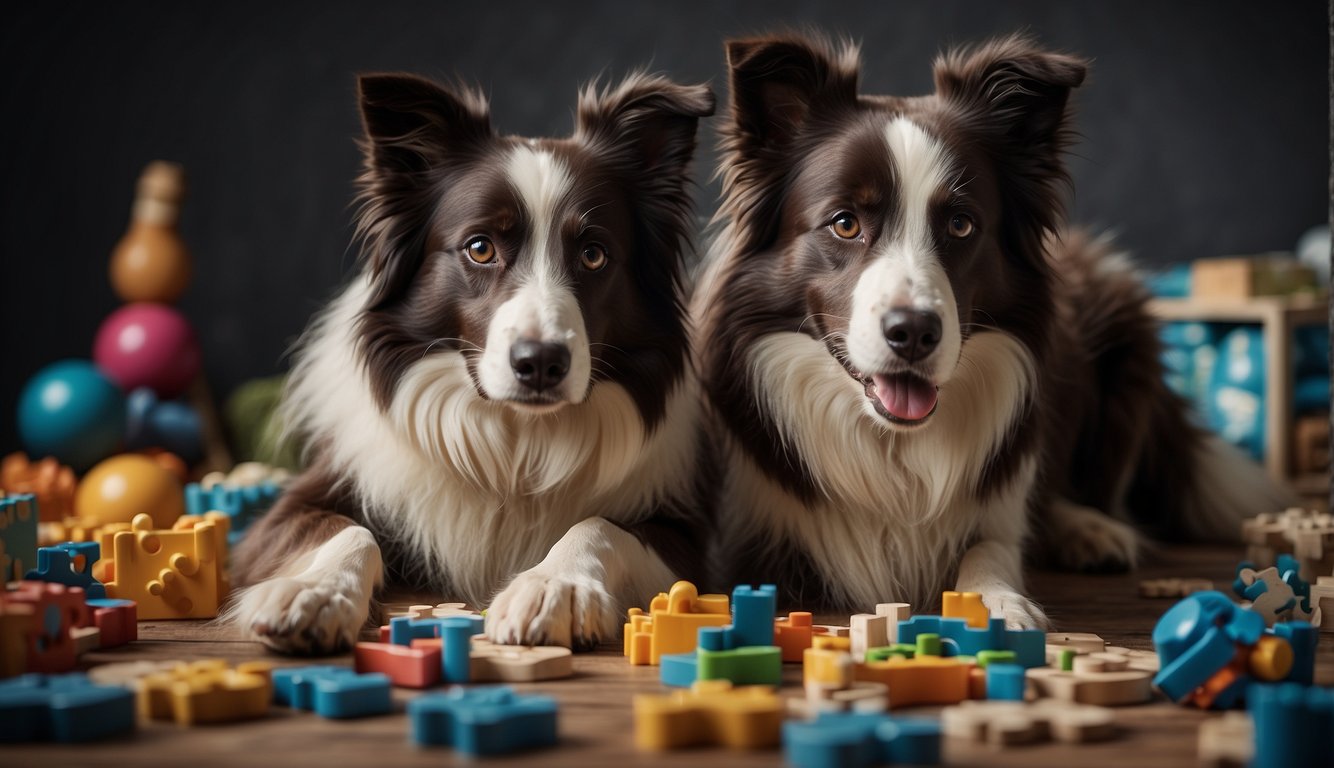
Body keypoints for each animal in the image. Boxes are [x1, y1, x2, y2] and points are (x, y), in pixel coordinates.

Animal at [224, 72, 715, 650]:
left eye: (593, 254)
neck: (515, 443)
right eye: (480, 248)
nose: (541, 362)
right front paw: (316, 592)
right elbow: (349, 531)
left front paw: (556, 586)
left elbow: (599, 527)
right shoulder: (291, 509)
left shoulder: (684, 537)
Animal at [693, 33, 1285, 626]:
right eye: (844, 223)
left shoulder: (998, 511)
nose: (914, 332)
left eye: (960, 224)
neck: (894, 448)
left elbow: (991, 546)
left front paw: (1000, 602)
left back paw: (1089, 528)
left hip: (1126, 339)